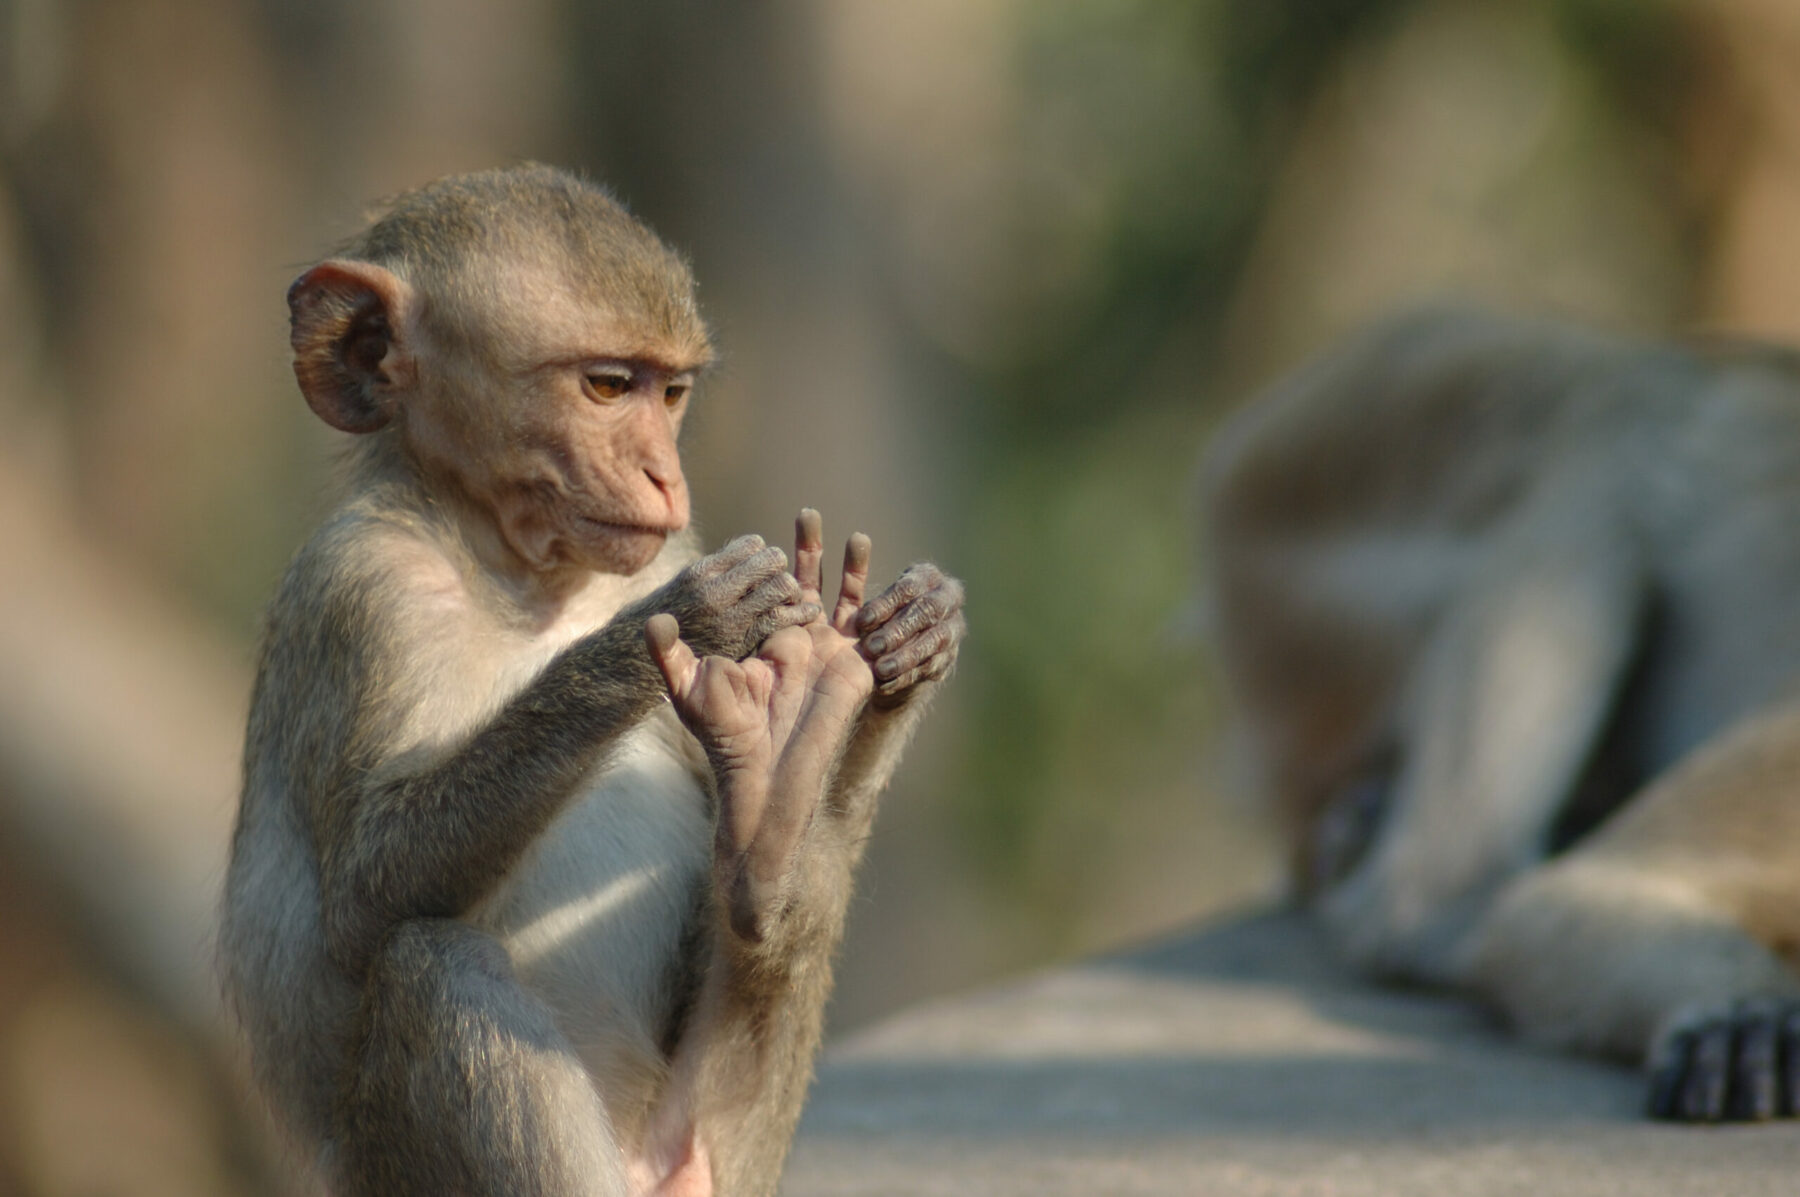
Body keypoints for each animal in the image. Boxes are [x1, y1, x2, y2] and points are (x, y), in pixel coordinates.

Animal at [223, 165, 964, 1195]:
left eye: (672, 391)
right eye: (608, 386)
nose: (666, 477)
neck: (521, 576)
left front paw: (880, 662)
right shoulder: (360, 594)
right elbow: (363, 900)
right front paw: (681, 624)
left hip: (720, 1141)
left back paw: (773, 835)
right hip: (395, 1168)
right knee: (431, 962)